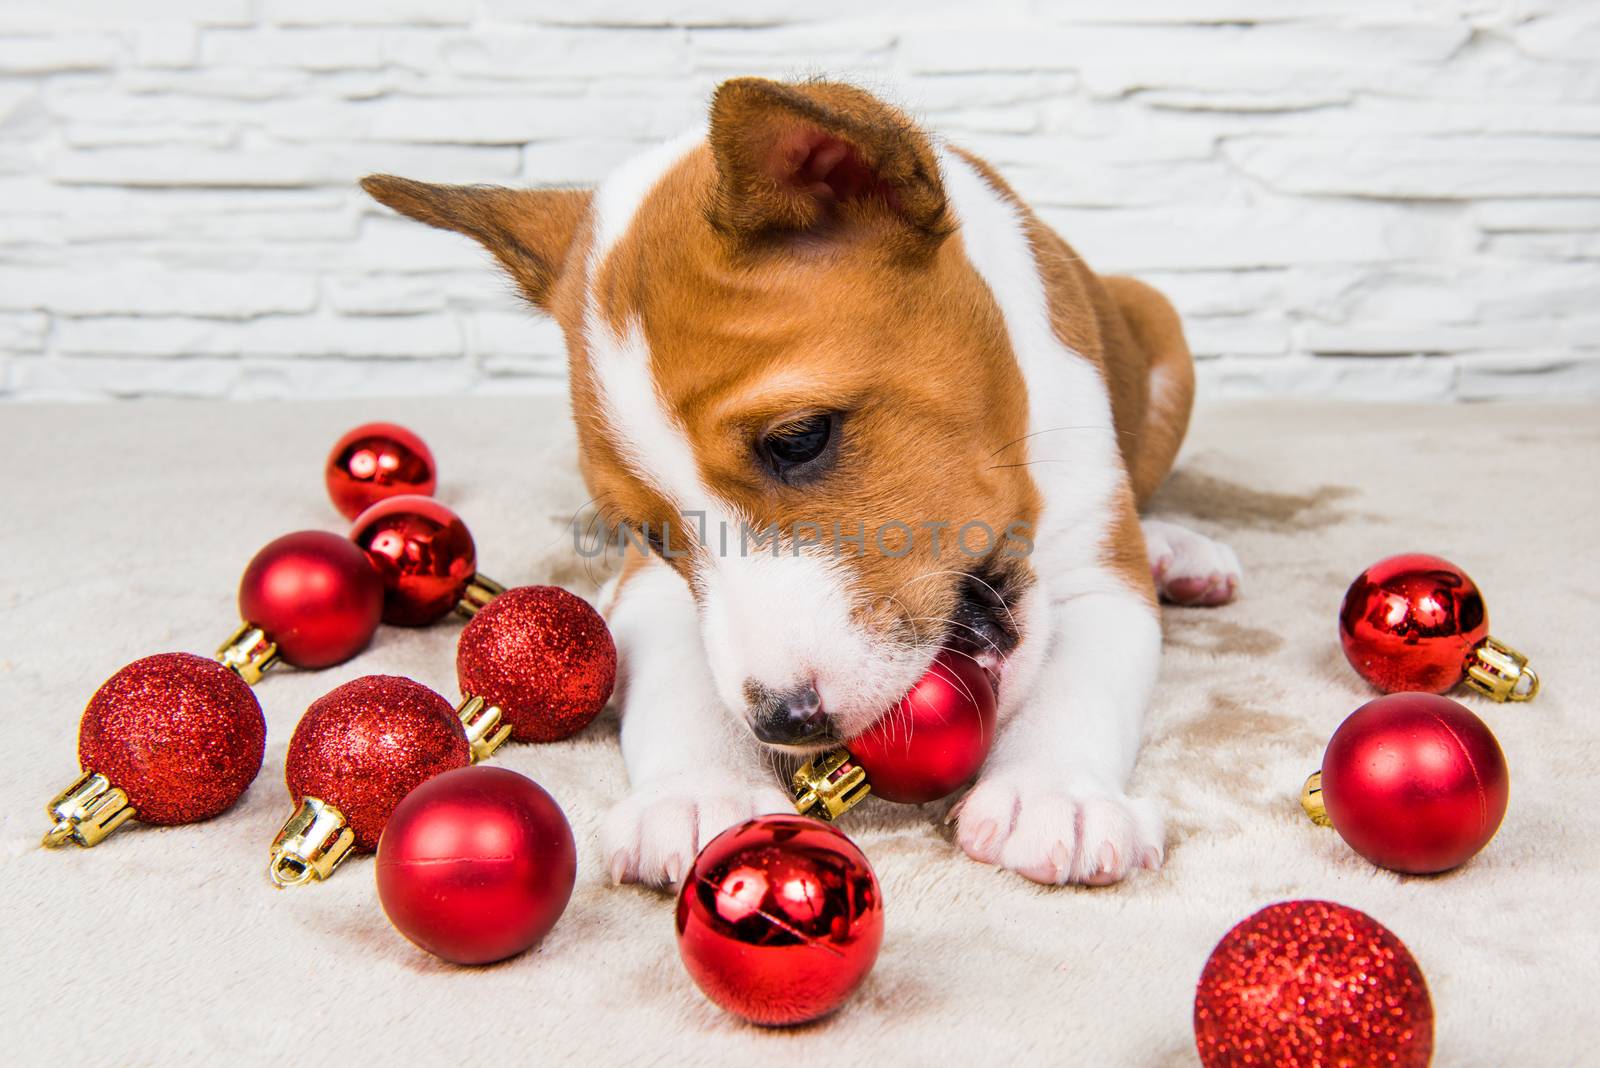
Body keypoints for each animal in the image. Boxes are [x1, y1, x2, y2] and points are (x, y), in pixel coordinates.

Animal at [368, 77, 1241, 882]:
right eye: (649, 531)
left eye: (799, 438)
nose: (785, 724)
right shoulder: (648, 590)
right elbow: (680, 683)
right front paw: (700, 791)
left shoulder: (1101, 573)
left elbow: (1078, 686)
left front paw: (1054, 792)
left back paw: (1178, 548)